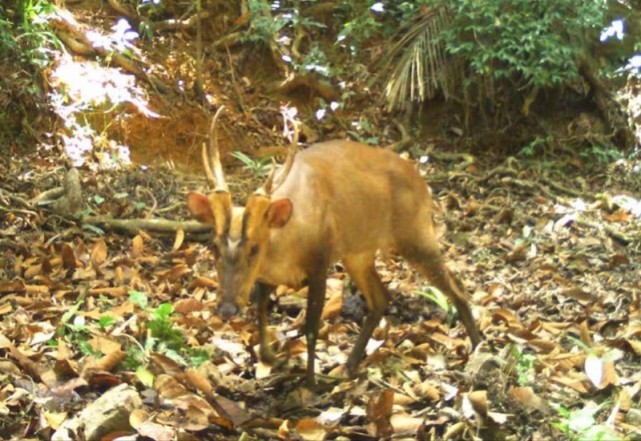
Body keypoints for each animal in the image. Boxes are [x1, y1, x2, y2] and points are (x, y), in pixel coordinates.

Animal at [186, 108, 480, 384]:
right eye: (214, 246)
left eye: (255, 248)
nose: (227, 309)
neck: (286, 243)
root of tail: (422, 182)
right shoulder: (266, 276)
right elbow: (260, 310)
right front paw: (274, 358)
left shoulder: (319, 262)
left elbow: (311, 326)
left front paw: (310, 383)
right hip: (358, 254)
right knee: (380, 299)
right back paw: (348, 366)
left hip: (415, 233)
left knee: (457, 287)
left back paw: (478, 348)